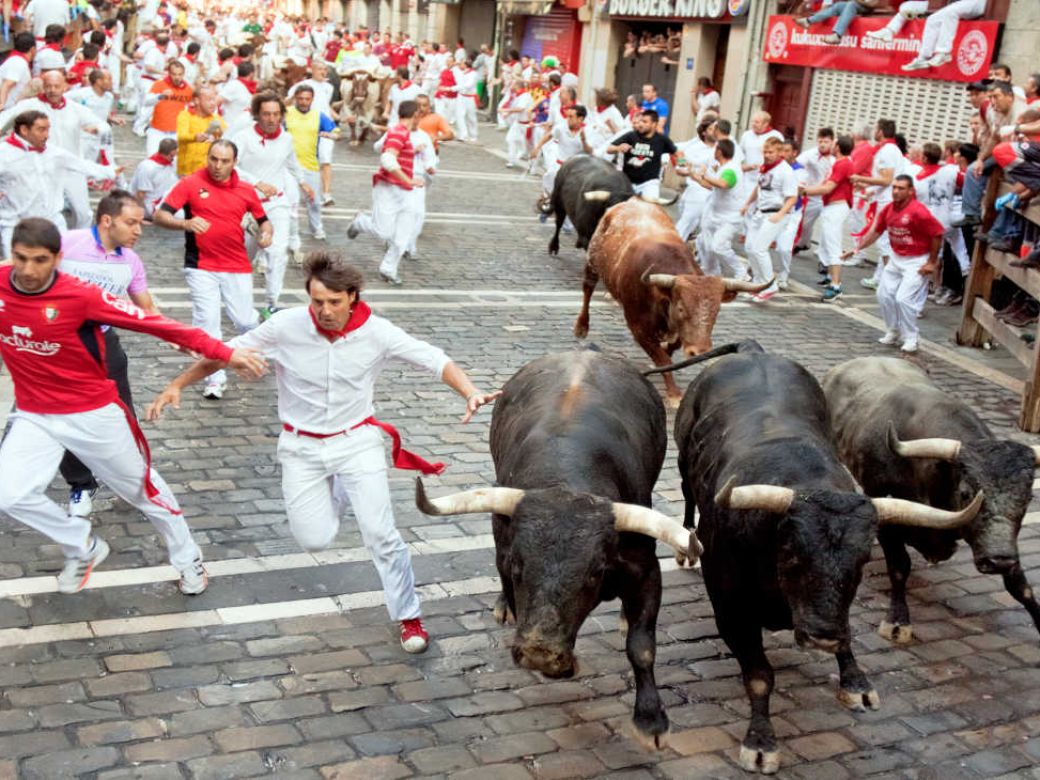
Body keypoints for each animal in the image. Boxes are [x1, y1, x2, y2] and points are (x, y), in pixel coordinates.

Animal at [413, 353, 698, 752]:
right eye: (517, 566)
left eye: (595, 572)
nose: (541, 652)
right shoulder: (503, 554)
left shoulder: (645, 569)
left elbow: (642, 646)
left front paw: (651, 720)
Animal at [574, 198, 769, 405]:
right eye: (681, 308)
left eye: (717, 311)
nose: (699, 351)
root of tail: (633, 201)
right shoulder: (638, 328)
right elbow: (663, 360)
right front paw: (674, 394)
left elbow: (670, 350)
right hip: (592, 262)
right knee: (587, 289)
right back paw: (581, 327)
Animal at [673, 347, 981, 777]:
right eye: (791, 552)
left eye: (863, 558)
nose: (821, 635)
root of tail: (752, 350)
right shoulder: (730, 610)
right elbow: (760, 677)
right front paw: (761, 743)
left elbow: (847, 634)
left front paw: (856, 683)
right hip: (683, 463)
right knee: (686, 492)